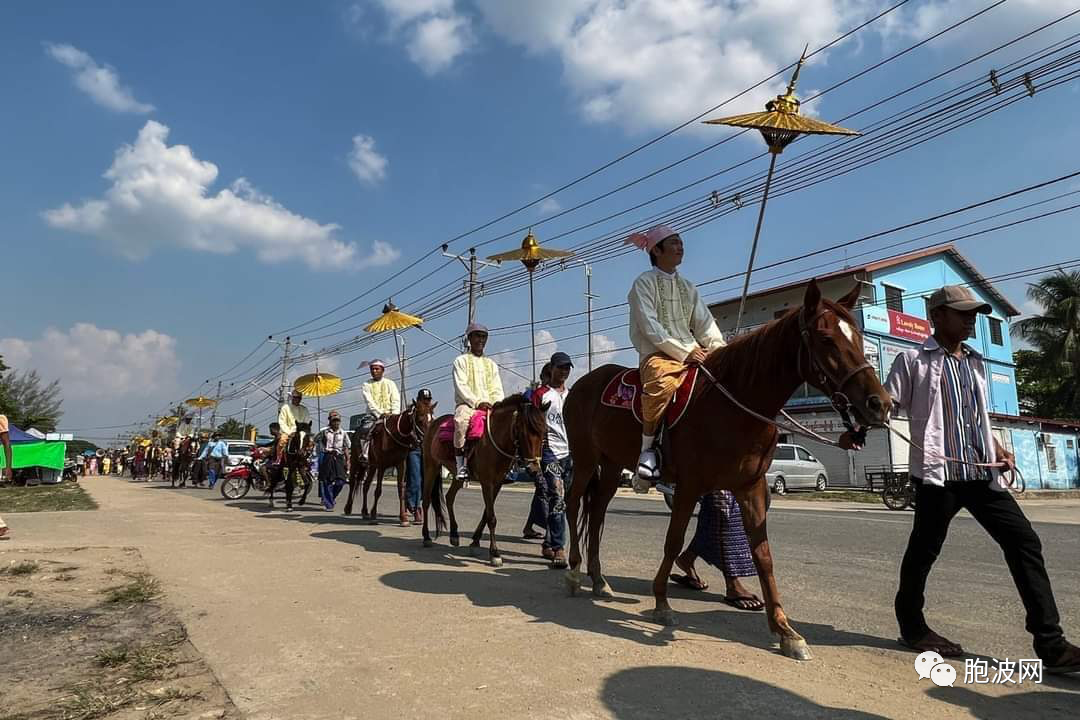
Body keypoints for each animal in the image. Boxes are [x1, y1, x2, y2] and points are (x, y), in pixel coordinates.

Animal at [341, 397, 434, 526]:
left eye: (432, 418)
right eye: (420, 420)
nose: (428, 439)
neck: (393, 435)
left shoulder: (401, 465)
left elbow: (401, 490)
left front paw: (403, 518)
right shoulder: (382, 465)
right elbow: (378, 490)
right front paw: (374, 515)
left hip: (371, 467)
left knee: (365, 486)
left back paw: (365, 512)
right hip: (355, 462)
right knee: (353, 482)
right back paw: (348, 508)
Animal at [416, 397, 544, 565]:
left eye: (544, 433)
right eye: (523, 432)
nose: (534, 469)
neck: (494, 439)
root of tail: (433, 425)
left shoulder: (497, 484)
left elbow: (486, 514)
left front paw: (475, 543)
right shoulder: (487, 483)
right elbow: (491, 517)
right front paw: (495, 553)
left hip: (456, 475)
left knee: (449, 497)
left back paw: (454, 535)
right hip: (431, 467)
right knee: (426, 501)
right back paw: (426, 537)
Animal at [561, 280, 889, 660]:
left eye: (858, 338)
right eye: (826, 339)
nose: (879, 403)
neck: (733, 403)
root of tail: (581, 385)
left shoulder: (751, 487)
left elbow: (763, 555)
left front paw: (785, 630)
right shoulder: (689, 485)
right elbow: (673, 542)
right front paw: (661, 602)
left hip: (612, 465)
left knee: (597, 511)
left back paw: (599, 580)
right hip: (585, 459)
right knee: (574, 503)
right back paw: (573, 572)